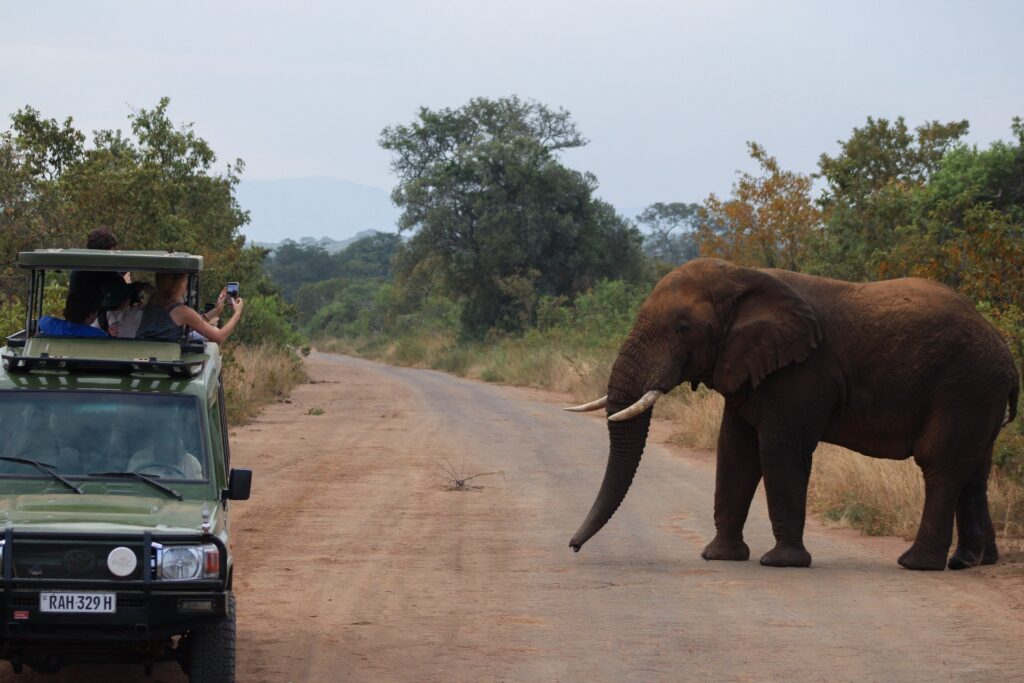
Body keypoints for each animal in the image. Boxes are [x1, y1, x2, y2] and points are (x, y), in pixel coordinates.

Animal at [566, 258, 1019, 570]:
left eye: (682, 328)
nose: (572, 546)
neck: (741, 276)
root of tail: (1007, 354)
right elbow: (735, 450)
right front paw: (719, 556)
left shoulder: (802, 372)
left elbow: (779, 449)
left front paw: (781, 562)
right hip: (979, 394)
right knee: (974, 469)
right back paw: (969, 562)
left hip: (964, 386)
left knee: (941, 464)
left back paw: (916, 564)